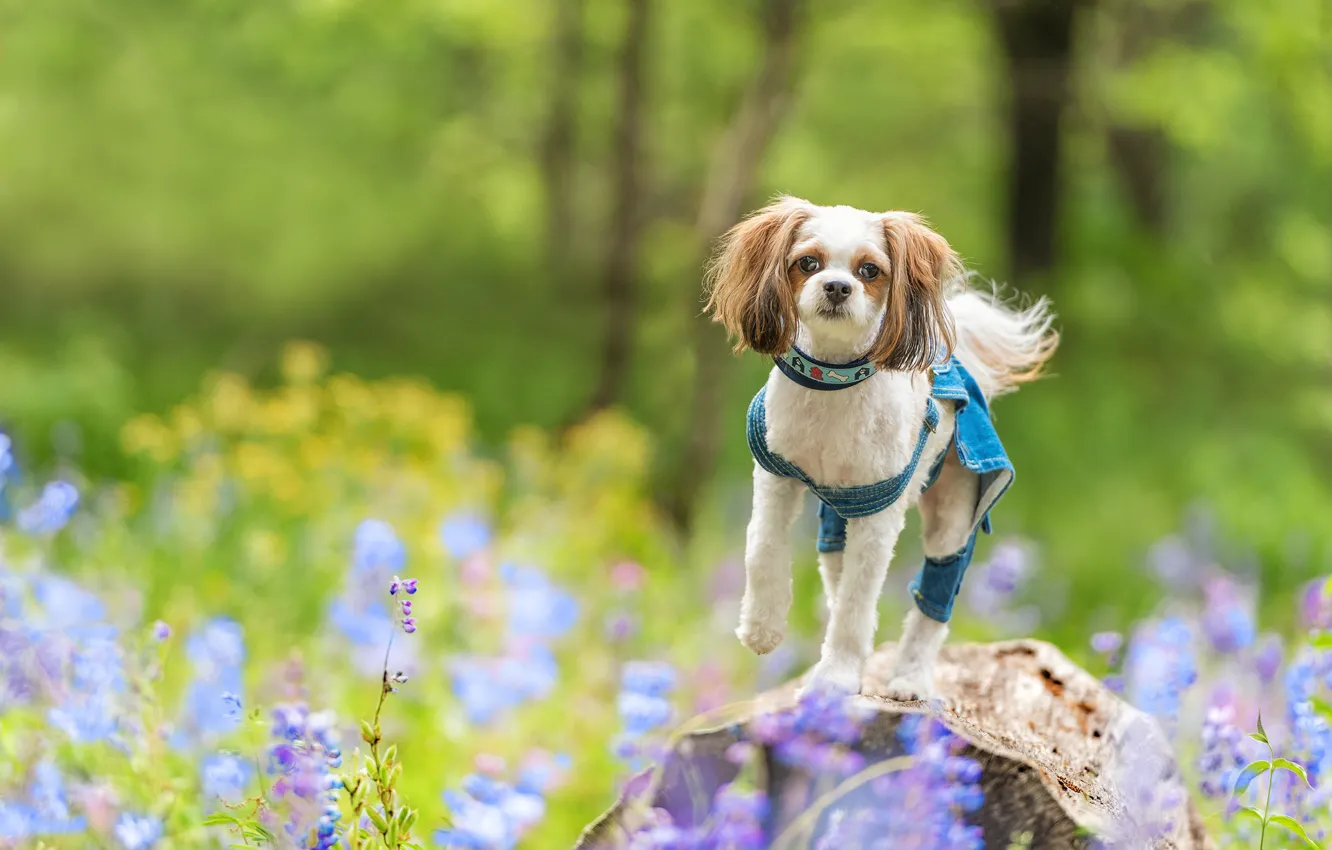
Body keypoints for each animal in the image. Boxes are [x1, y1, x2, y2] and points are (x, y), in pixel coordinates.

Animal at [708, 197, 1060, 703]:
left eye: (869, 270)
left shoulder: (878, 513)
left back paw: (910, 677)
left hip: (954, 510)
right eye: (808, 263)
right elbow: (763, 549)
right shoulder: (776, 474)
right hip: (838, 518)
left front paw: (836, 676)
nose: (837, 286)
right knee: (836, 568)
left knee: (933, 598)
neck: (832, 384)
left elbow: (858, 601)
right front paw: (761, 628)